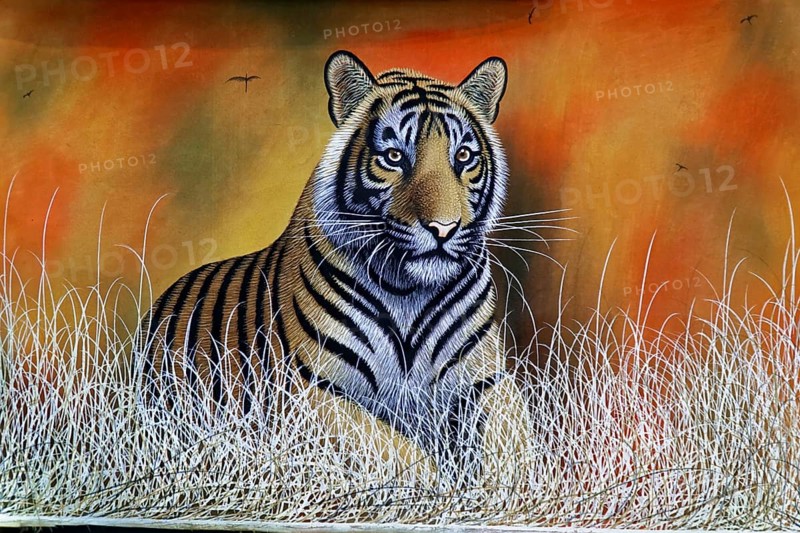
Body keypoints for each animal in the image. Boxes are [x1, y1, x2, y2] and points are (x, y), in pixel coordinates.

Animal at [138, 50, 530, 481]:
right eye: (394, 157)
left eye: (463, 156)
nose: (444, 228)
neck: (409, 292)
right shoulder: (312, 389)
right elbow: (396, 454)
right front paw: (439, 487)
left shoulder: (486, 379)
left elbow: (511, 444)